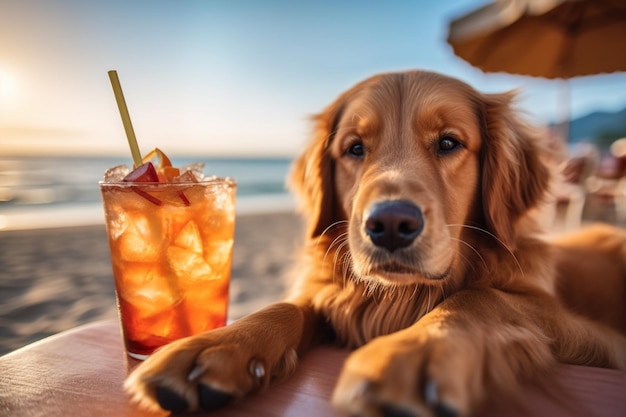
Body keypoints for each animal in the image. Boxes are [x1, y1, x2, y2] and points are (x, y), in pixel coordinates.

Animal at [123, 71, 624, 416]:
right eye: (355, 148)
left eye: (449, 143)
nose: (390, 225)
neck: (400, 297)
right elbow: (291, 305)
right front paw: (217, 345)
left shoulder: (597, 338)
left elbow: (479, 296)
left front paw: (410, 352)